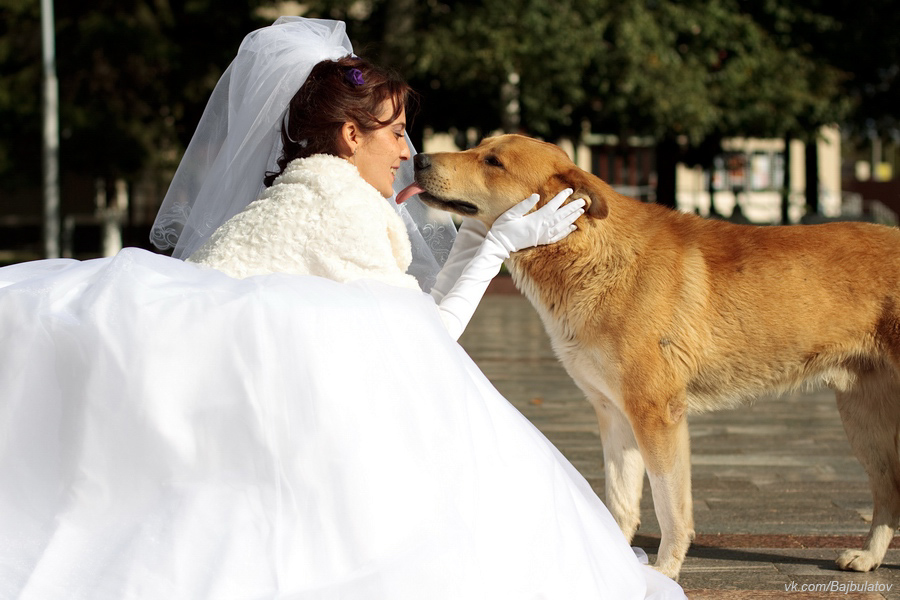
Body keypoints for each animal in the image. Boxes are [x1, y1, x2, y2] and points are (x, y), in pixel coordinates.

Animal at [410, 134, 900, 580]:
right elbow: (620, 504)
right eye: (476, 146)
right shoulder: (613, 414)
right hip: (862, 420)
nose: (419, 158)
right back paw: (868, 558)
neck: (592, 255)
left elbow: (670, 506)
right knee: (888, 491)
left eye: (492, 161)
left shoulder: (656, 414)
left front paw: (665, 571)